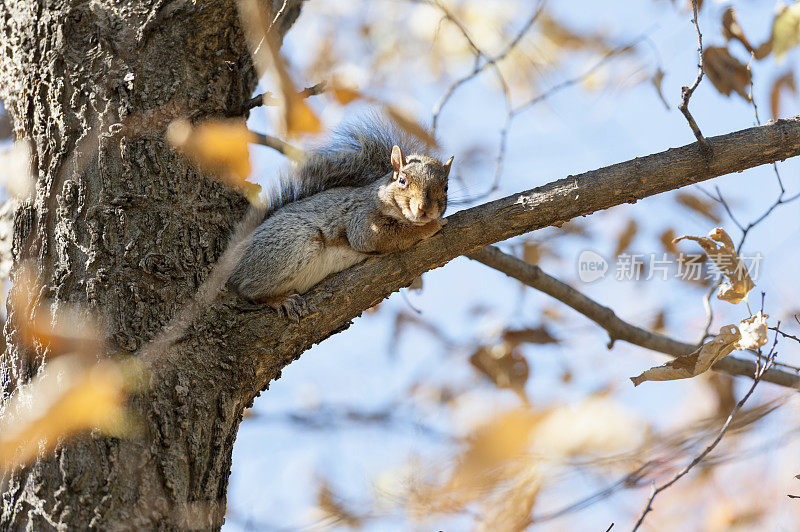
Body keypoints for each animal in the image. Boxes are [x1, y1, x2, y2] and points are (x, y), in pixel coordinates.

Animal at [228, 121, 454, 320]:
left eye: (446, 187)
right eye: (402, 180)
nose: (424, 210)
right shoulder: (361, 220)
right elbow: (385, 235)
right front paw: (430, 227)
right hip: (291, 242)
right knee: (246, 288)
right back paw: (278, 300)